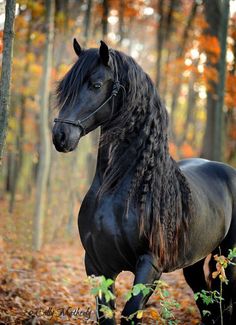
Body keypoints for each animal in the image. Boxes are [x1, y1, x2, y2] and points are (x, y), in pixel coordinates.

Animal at [52, 41, 236, 324]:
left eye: (96, 84)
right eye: (64, 87)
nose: (60, 136)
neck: (118, 189)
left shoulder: (149, 266)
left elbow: (130, 313)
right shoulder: (96, 265)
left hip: (227, 256)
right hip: (194, 262)